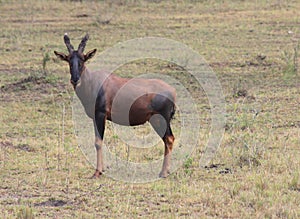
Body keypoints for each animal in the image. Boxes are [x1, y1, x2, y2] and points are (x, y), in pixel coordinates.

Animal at [54, 34, 176, 178]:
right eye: (68, 59)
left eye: (82, 59)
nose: (75, 79)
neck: (94, 83)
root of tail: (172, 91)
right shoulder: (95, 117)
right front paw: (102, 170)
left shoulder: (100, 115)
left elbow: (98, 142)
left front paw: (97, 172)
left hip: (159, 119)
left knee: (169, 139)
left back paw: (163, 173)